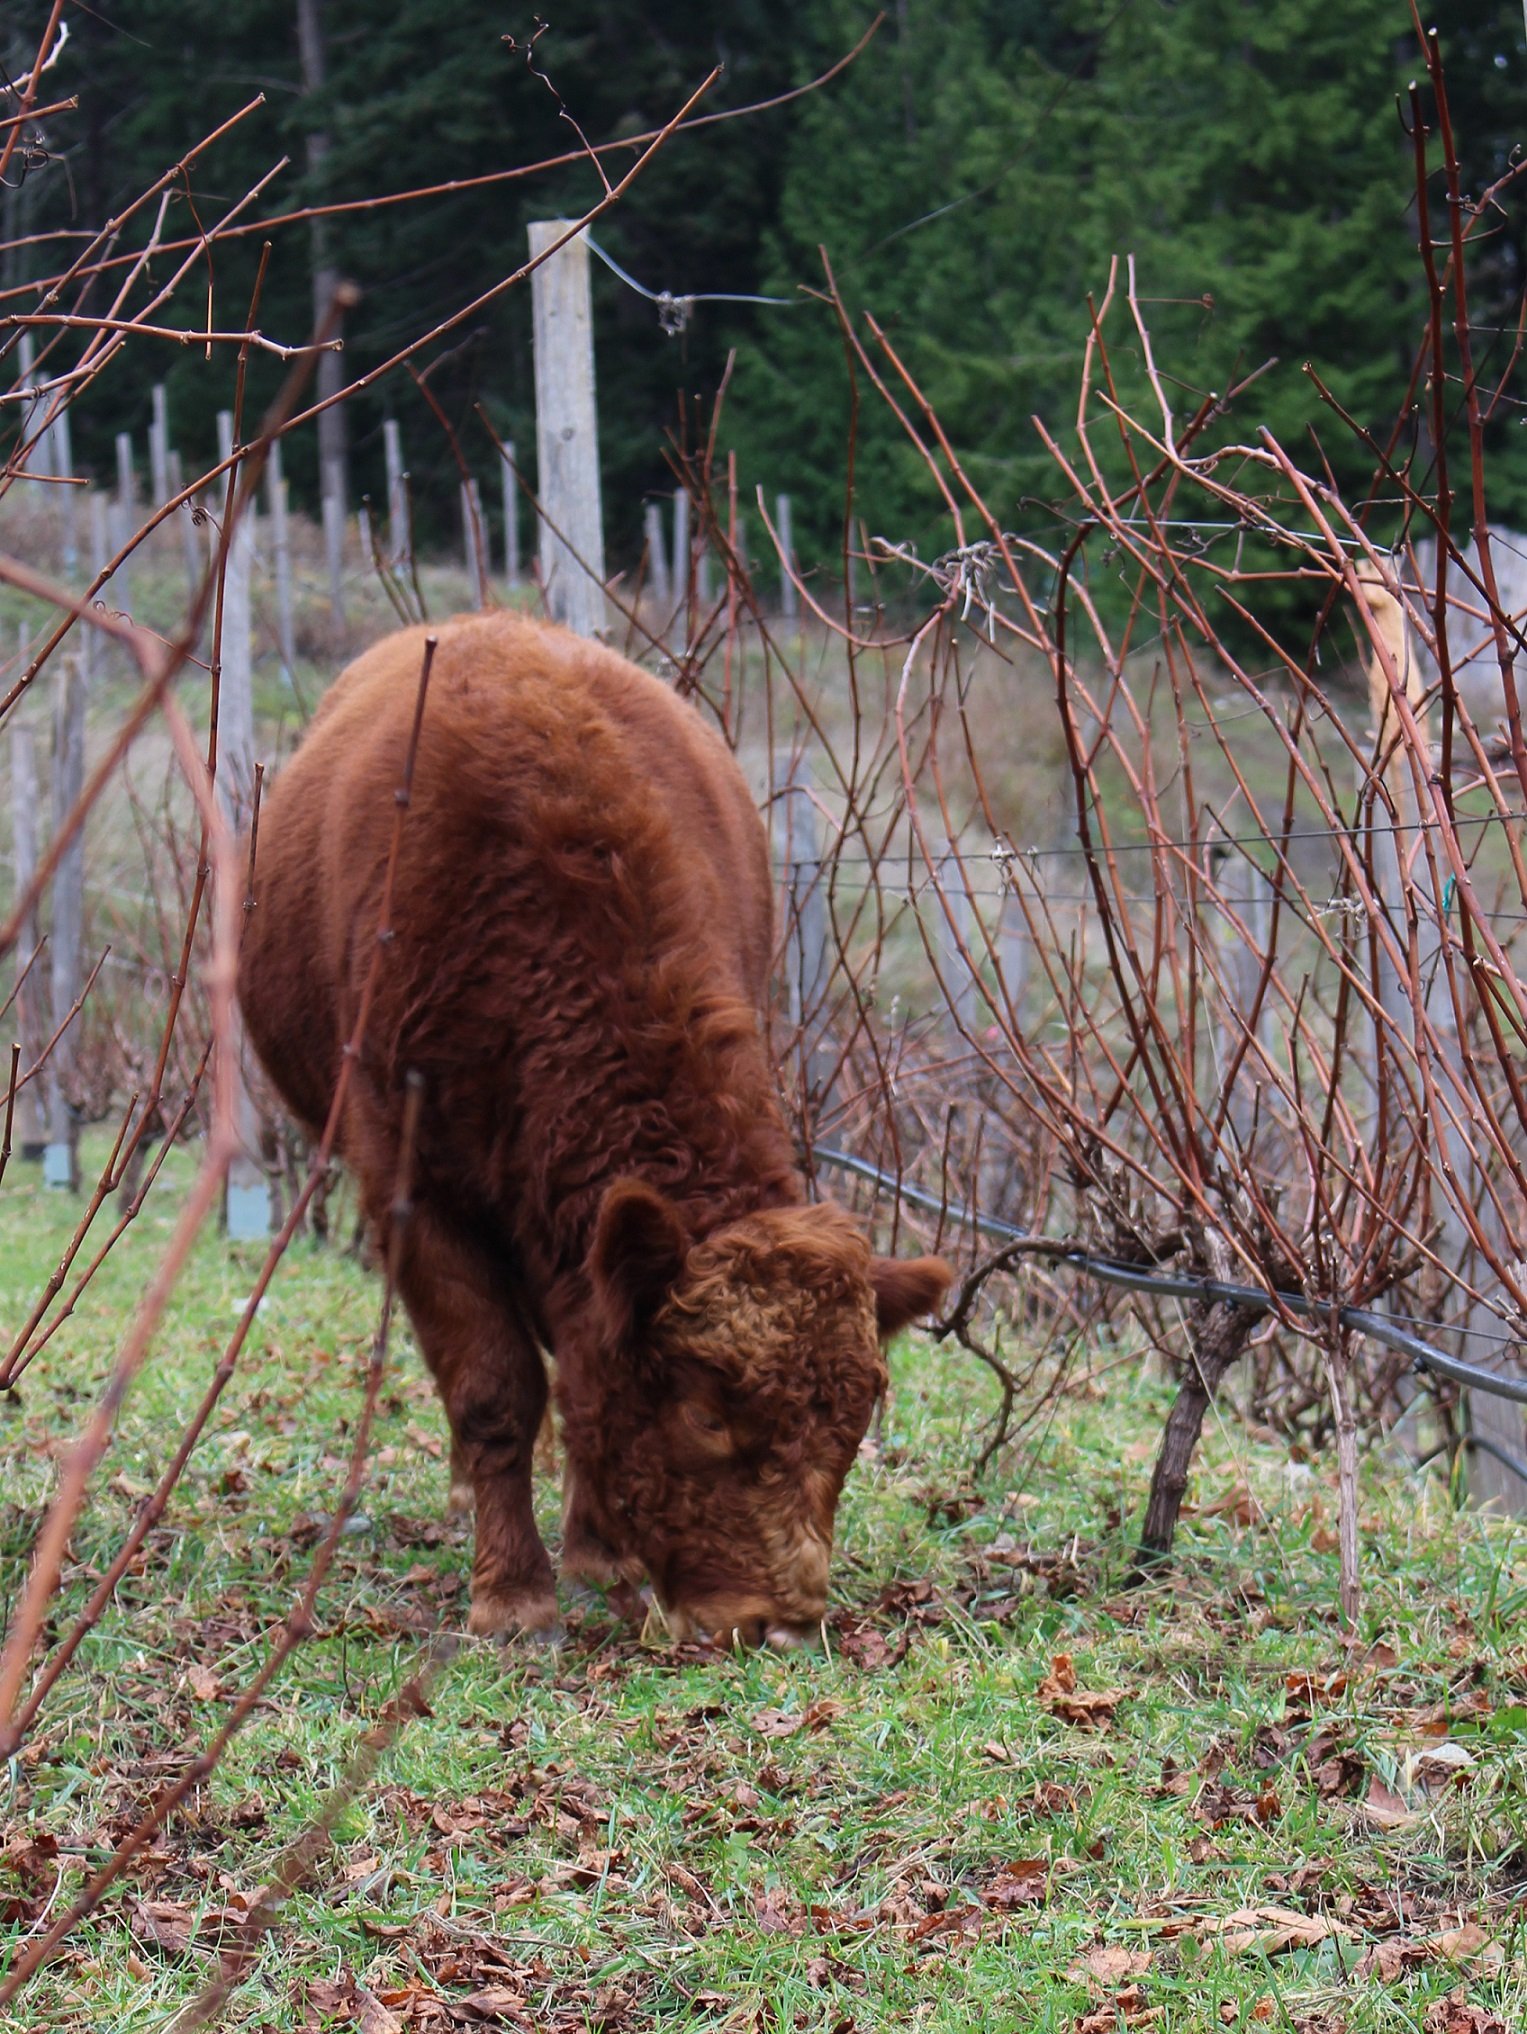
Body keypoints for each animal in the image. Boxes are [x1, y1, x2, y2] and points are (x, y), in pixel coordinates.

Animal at [237, 612, 951, 1647]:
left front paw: (597, 1552)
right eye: (706, 1414)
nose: (779, 1623)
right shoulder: (411, 1183)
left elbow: (578, 1368)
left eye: (853, 1424)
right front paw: (511, 1593)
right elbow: (494, 1384)